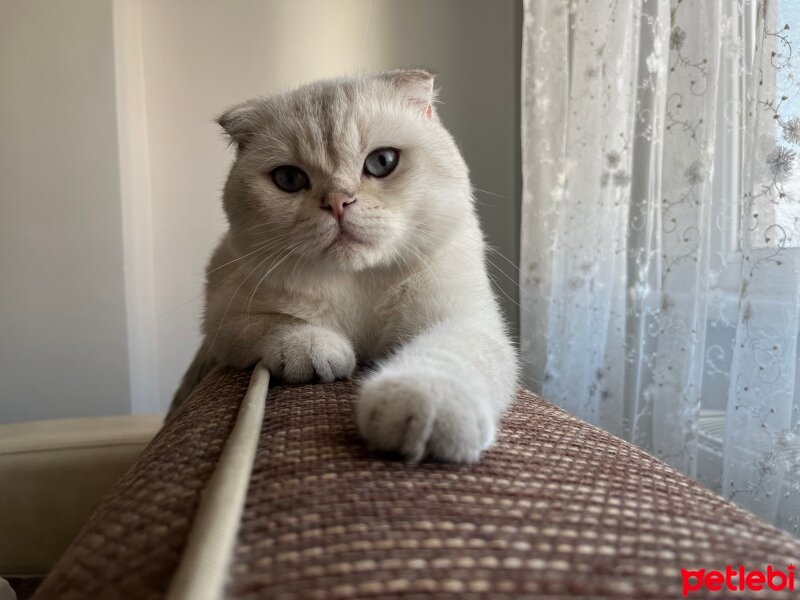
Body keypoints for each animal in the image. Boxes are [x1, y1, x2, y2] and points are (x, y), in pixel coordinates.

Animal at [170, 70, 520, 464]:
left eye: (382, 162)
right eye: (289, 179)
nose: (337, 202)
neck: (358, 281)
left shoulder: (463, 320)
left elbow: (446, 356)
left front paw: (422, 407)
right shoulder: (226, 318)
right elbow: (281, 325)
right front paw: (317, 354)